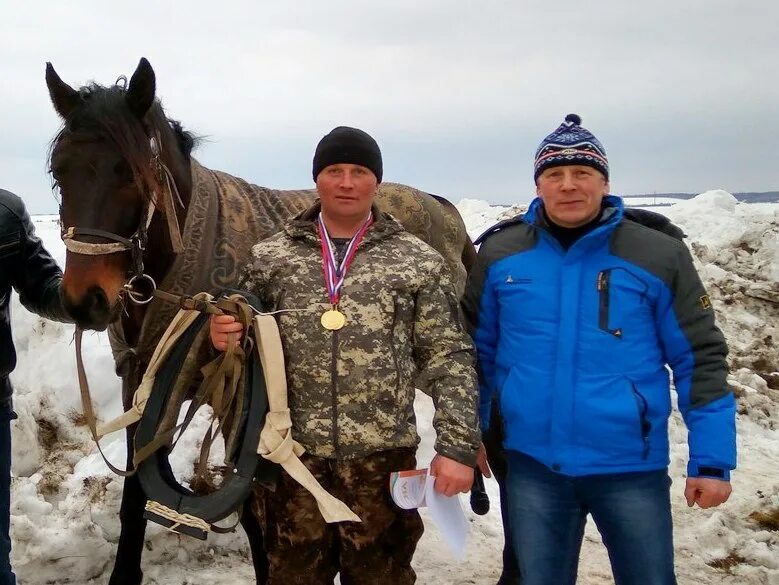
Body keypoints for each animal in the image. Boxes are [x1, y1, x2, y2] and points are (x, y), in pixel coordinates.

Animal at [45, 56, 478, 584]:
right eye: (59, 172)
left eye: (131, 173)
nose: (84, 301)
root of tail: (441, 205)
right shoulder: (141, 385)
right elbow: (135, 495)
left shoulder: (242, 397)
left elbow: (253, 510)